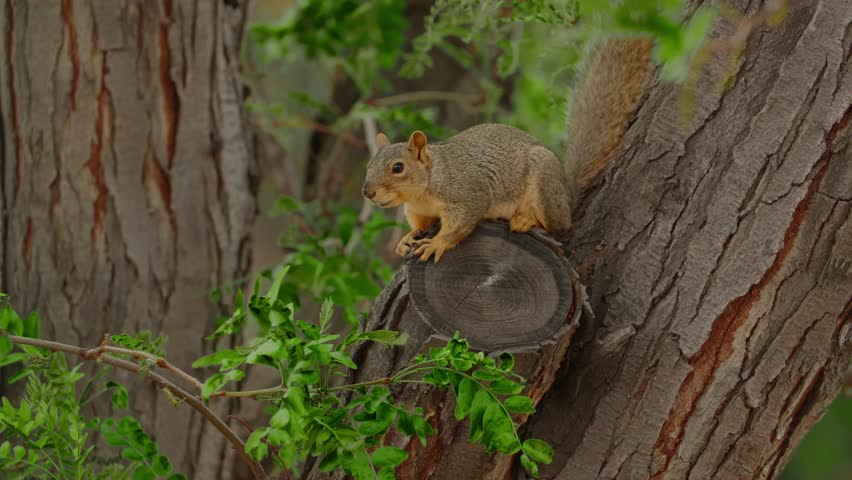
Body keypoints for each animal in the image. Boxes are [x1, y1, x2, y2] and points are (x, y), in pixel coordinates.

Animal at [361, 38, 652, 262]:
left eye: (398, 167)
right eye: (369, 165)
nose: (367, 192)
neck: (426, 186)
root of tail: (567, 192)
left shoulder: (467, 195)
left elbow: (459, 225)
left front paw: (436, 243)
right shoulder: (418, 212)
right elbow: (420, 226)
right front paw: (406, 239)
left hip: (544, 183)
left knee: (560, 226)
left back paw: (526, 220)